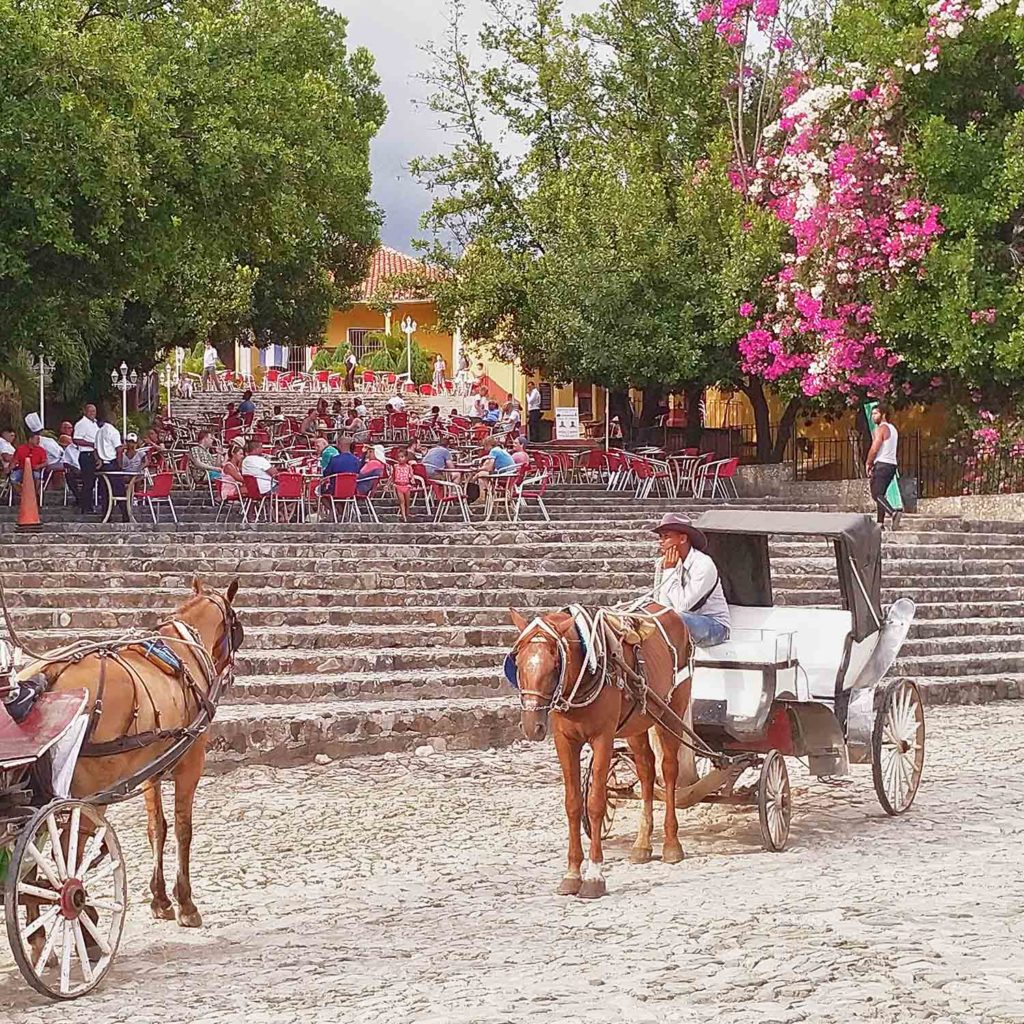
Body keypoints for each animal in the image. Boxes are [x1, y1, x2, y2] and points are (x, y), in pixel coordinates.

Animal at [18, 577, 242, 929]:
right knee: (67, 850)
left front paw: (160, 899)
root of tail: (48, 674)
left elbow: (156, 828)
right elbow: (183, 828)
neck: (184, 648)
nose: (231, 669)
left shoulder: (150, 768)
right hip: (91, 790)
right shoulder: (191, 761)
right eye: (235, 624)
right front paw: (185, 903)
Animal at [509, 602, 696, 901]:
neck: (588, 667)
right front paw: (572, 873)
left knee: (668, 771)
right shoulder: (564, 741)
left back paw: (671, 844)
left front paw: (594, 875)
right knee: (646, 771)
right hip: (638, 723)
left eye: (555, 665)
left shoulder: (603, 739)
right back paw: (642, 844)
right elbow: (573, 804)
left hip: (672, 712)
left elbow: (596, 803)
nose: (531, 725)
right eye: (517, 662)